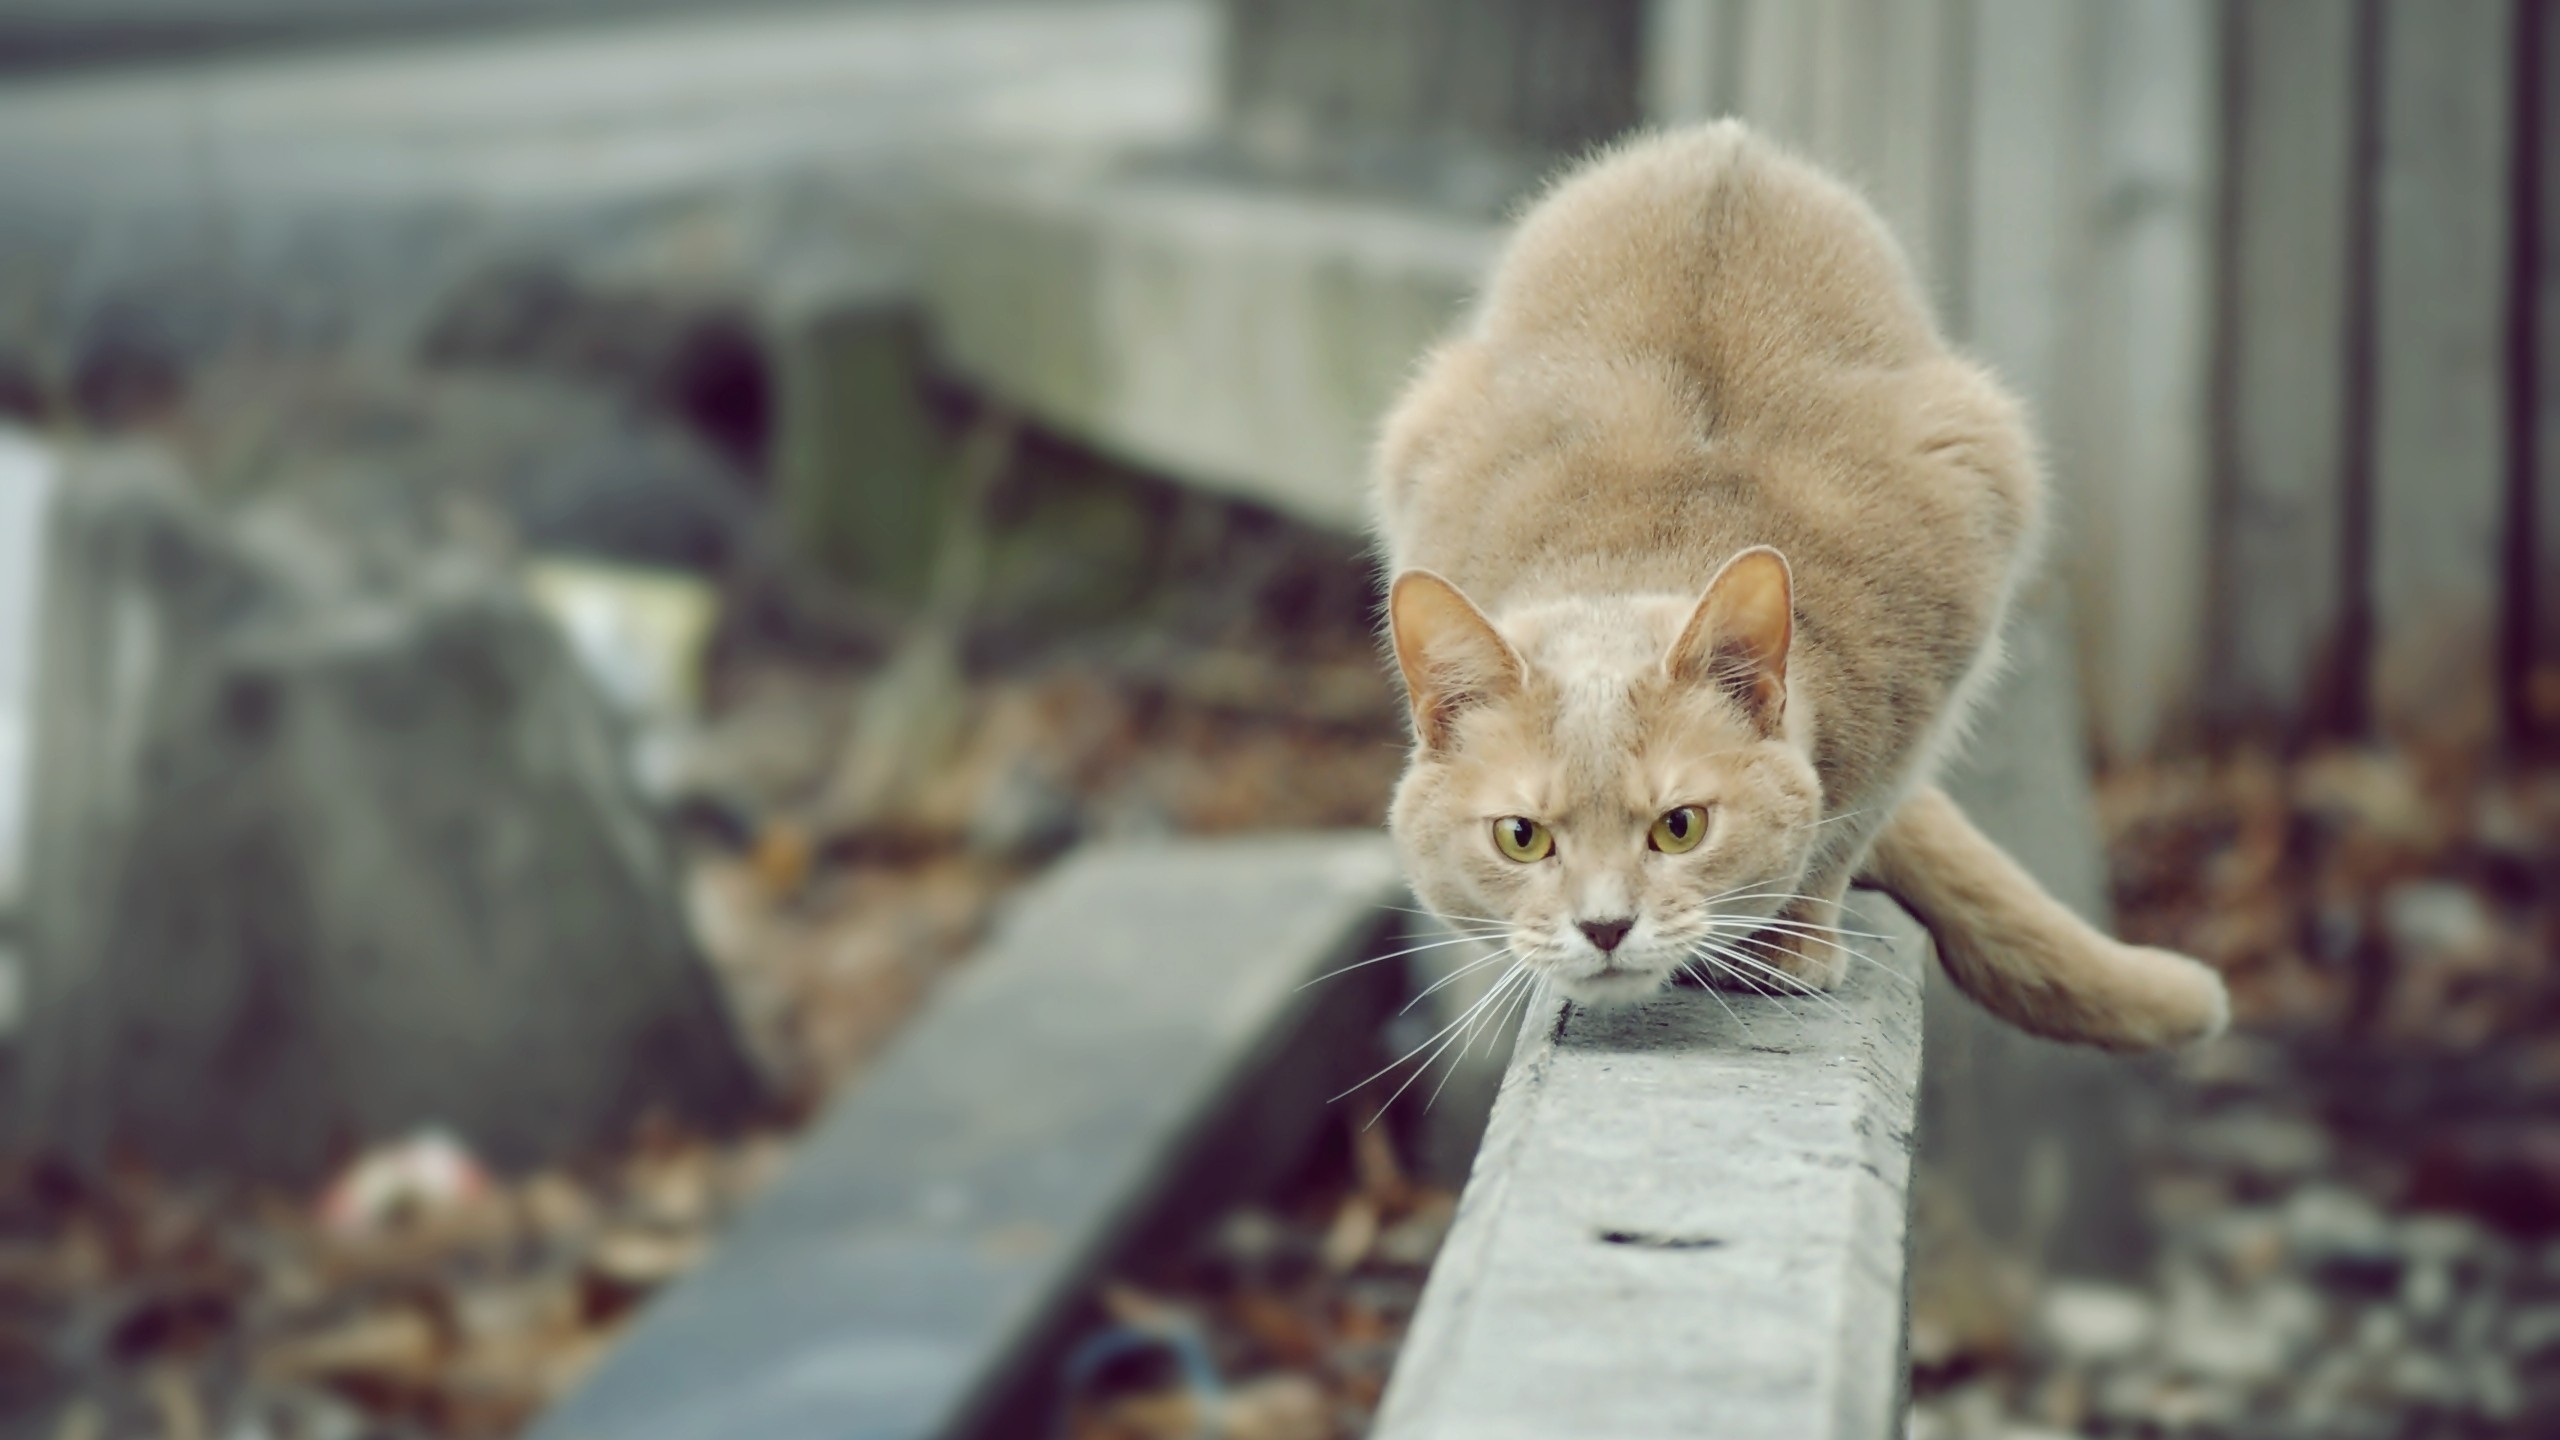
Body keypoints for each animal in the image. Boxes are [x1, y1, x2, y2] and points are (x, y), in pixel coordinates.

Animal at [1372, 120, 2232, 1040]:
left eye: (1681, 827)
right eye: (1521, 837)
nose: (1604, 925)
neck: (1649, 543)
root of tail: (1726, 138)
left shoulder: (1935, 669)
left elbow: (1849, 824)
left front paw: (1789, 943)